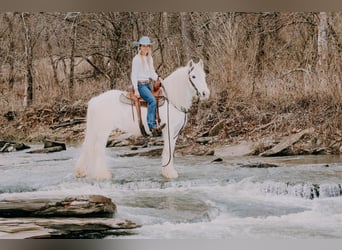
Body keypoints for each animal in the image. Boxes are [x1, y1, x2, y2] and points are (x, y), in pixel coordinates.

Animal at [76, 58, 210, 180]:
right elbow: (168, 151)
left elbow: (170, 151)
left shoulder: (175, 133)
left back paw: (82, 171)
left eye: (204, 75)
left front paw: (168, 171)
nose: (205, 93)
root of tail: (95, 100)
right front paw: (169, 173)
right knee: (98, 149)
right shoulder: (169, 130)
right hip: (103, 131)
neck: (172, 100)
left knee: (88, 146)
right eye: (193, 76)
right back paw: (103, 174)